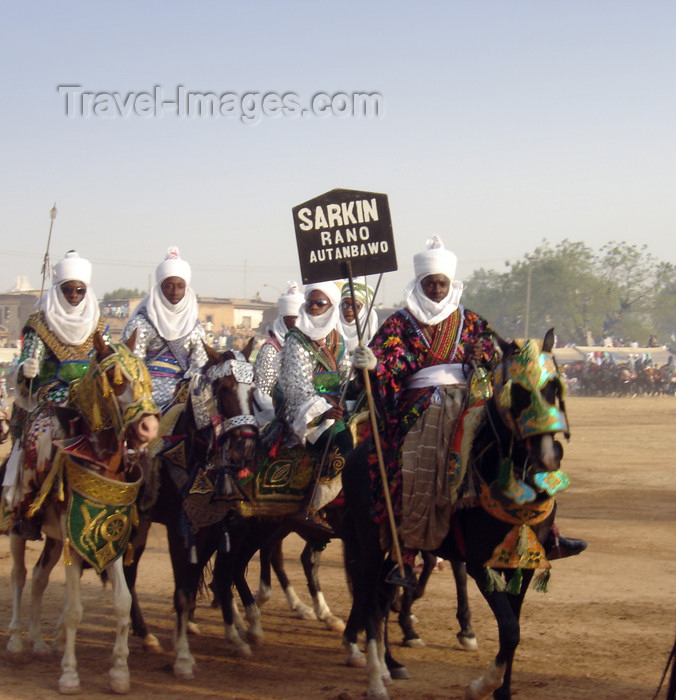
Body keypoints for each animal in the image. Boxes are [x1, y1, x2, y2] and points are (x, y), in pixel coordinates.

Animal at [2, 334, 160, 696]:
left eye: (144, 373)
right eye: (116, 380)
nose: (149, 427)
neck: (100, 460)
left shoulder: (111, 538)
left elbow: (122, 602)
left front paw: (119, 673)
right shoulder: (76, 544)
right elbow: (74, 609)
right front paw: (70, 675)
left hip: (54, 540)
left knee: (38, 576)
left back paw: (38, 643)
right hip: (19, 527)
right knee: (19, 575)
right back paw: (16, 643)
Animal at [344, 330, 572, 700]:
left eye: (554, 387)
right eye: (517, 392)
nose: (548, 456)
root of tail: (359, 450)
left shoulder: (523, 563)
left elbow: (513, 630)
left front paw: (502, 691)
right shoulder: (481, 564)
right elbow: (510, 629)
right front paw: (481, 685)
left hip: (392, 547)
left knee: (381, 597)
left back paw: (391, 665)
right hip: (368, 543)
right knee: (370, 601)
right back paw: (376, 678)